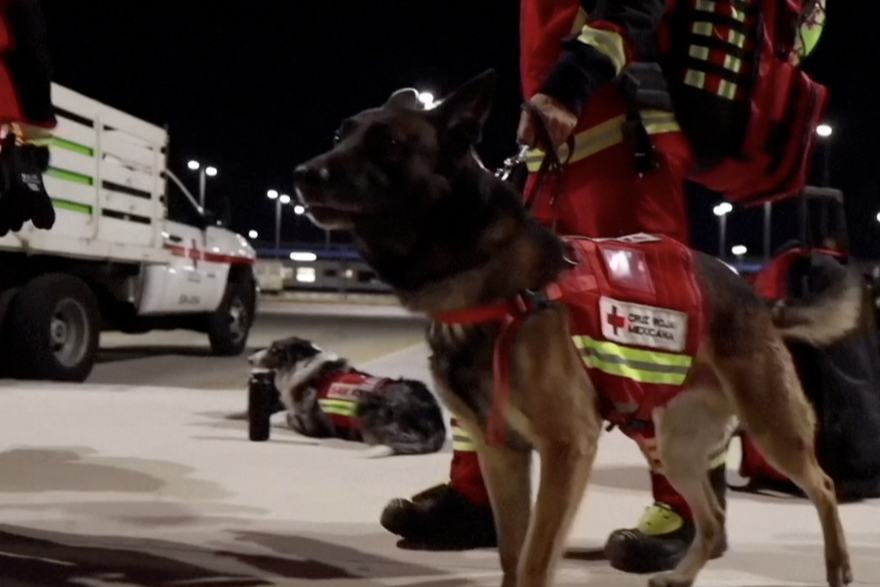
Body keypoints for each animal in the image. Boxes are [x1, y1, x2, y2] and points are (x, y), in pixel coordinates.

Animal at [292, 70, 856, 587]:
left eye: (387, 143)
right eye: (342, 133)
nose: (302, 173)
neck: (494, 279)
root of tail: (755, 296)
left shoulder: (567, 450)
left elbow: (534, 561)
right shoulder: (501, 455)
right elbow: (510, 556)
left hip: (772, 426)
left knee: (823, 486)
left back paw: (838, 565)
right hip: (676, 446)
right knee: (713, 518)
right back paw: (679, 575)